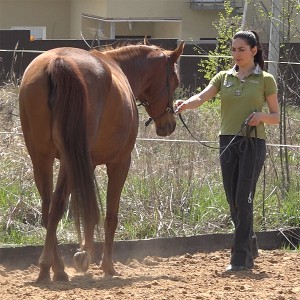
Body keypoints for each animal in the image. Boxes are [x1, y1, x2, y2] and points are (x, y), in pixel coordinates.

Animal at [18, 40, 184, 284]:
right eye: (175, 81)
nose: (169, 124)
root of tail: (58, 62)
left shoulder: (87, 164)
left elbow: (88, 209)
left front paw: (83, 255)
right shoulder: (120, 162)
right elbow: (109, 216)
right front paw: (106, 265)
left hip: (41, 158)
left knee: (48, 208)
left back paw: (56, 268)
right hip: (68, 160)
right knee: (57, 204)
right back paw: (48, 266)